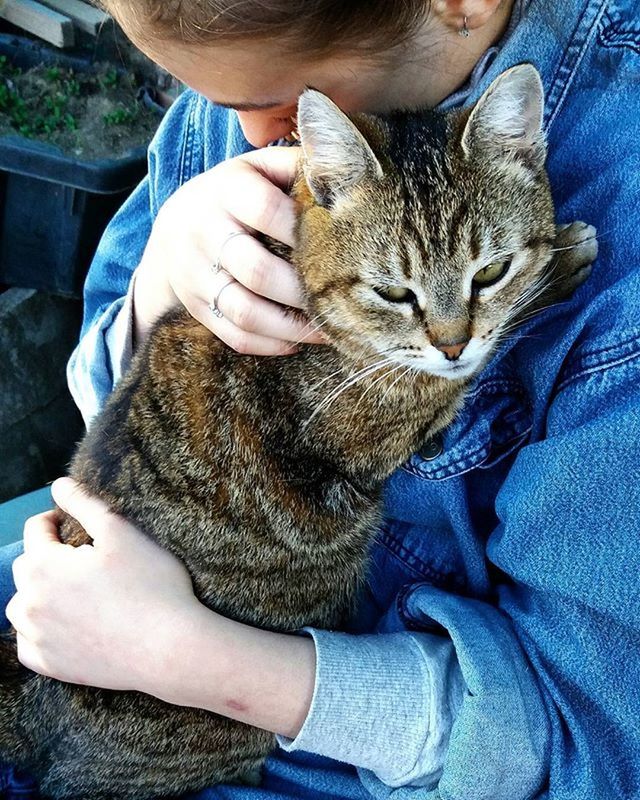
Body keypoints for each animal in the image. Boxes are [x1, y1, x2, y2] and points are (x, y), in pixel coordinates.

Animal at [0, 64, 596, 800]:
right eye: (394, 292)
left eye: (488, 271)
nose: (453, 342)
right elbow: (465, 366)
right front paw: (561, 263)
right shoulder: (384, 417)